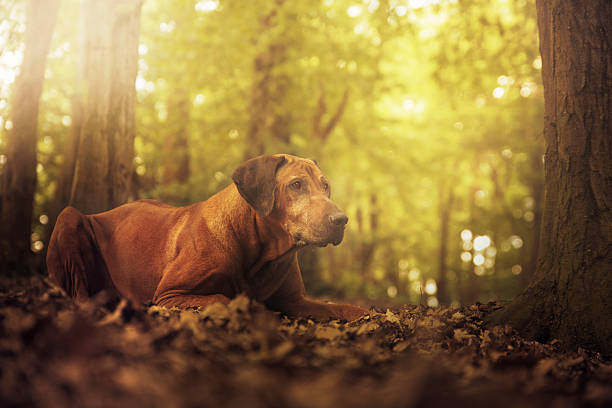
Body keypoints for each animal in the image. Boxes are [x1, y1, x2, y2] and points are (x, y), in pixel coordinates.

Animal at [47, 155, 368, 320]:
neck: (259, 248)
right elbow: (223, 298)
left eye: (326, 186)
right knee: (77, 292)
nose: (341, 221)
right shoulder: (170, 293)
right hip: (68, 216)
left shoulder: (295, 300)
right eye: (297, 185)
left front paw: (367, 314)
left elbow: (338, 306)